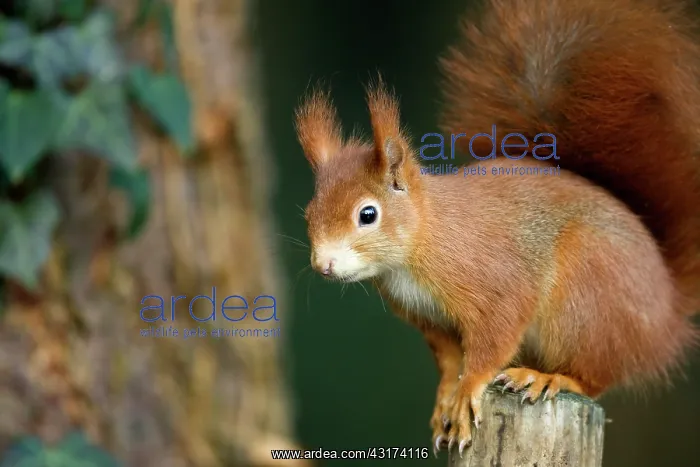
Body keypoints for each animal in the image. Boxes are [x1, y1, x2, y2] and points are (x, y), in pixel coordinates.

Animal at [295, 0, 700, 457]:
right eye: (308, 214)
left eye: (367, 214)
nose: (323, 265)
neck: (421, 243)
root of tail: (666, 313)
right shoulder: (431, 320)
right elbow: (449, 360)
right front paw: (445, 398)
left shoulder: (494, 284)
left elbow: (493, 342)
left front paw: (468, 388)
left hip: (587, 296)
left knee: (594, 378)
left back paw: (549, 377)